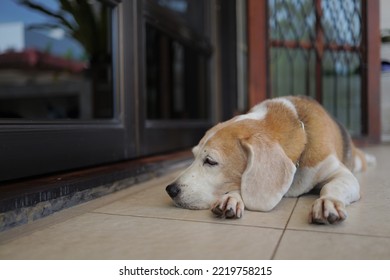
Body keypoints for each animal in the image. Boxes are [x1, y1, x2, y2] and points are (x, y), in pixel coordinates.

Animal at [165, 96, 374, 225]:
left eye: (210, 161)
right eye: (193, 156)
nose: (170, 190)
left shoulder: (339, 172)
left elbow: (333, 186)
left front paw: (327, 202)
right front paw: (231, 198)